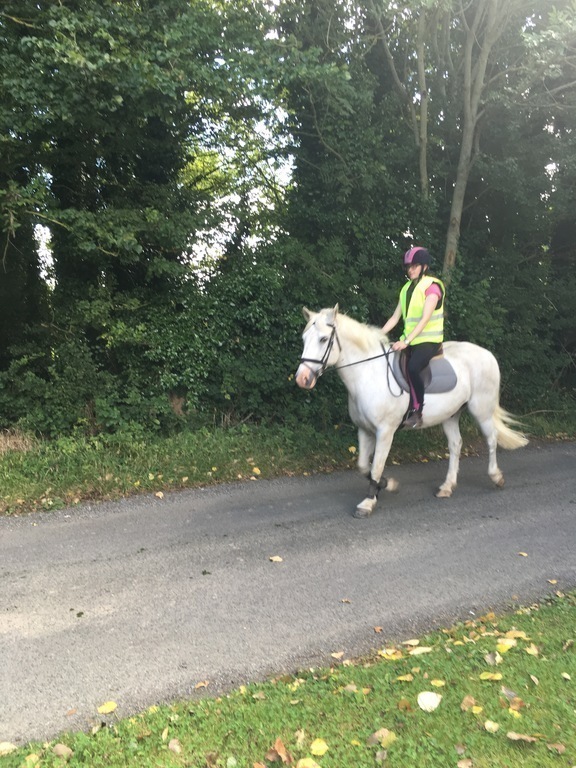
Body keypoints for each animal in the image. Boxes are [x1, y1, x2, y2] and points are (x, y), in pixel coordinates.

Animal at [295, 305, 528, 518]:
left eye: (323, 339)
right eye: (305, 339)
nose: (302, 379)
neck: (368, 374)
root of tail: (487, 354)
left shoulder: (385, 431)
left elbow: (376, 466)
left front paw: (368, 503)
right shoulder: (364, 430)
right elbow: (363, 466)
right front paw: (386, 484)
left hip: (482, 410)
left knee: (491, 439)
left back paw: (496, 477)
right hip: (450, 415)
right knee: (455, 445)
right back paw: (447, 487)